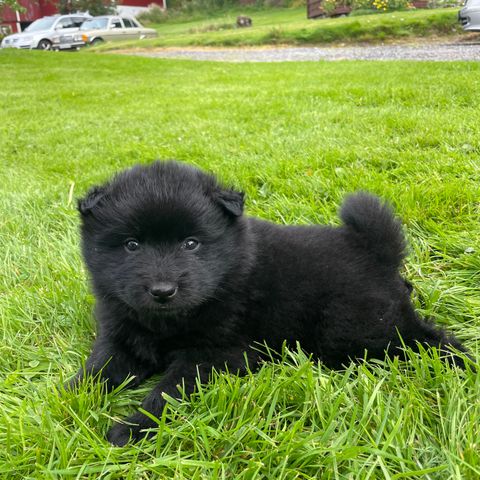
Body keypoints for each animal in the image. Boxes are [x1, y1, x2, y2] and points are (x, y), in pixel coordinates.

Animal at [72, 160, 468, 446]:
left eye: (191, 243)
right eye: (131, 245)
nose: (162, 290)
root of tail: (376, 251)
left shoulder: (214, 354)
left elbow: (167, 393)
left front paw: (132, 428)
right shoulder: (121, 336)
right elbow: (97, 370)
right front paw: (68, 401)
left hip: (358, 328)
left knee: (424, 339)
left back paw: (462, 364)